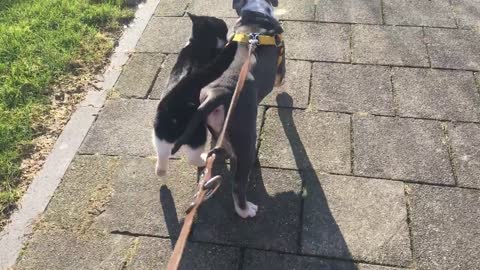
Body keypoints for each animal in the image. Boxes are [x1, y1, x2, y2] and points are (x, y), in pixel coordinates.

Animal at [154, 13, 236, 176]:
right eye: (223, 28)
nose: (227, 33)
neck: (197, 42)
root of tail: (169, 114)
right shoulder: (216, 62)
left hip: (159, 138)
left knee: (162, 158)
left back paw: (161, 171)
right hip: (197, 133)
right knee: (193, 157)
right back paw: (205, 160)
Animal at [172, 0, 284, 218]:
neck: (255, 15)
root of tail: (218, 94)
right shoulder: (281, 62)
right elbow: (281, 79)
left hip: (217, 126)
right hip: (245, 134)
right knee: (238, 184)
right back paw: (246, 210)